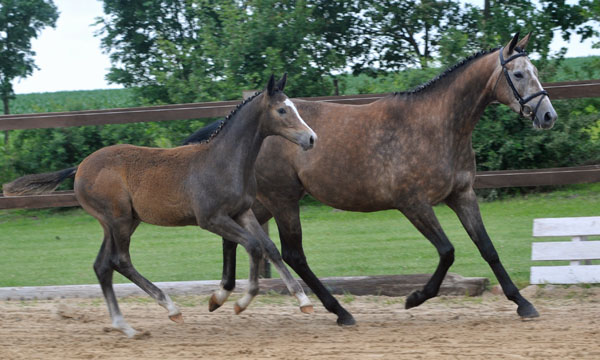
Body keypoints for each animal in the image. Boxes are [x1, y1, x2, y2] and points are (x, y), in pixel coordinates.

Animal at [3, 74, 318, 338]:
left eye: (294, 107)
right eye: (282, 110)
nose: (311, 138)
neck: (224, 161)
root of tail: (79, 167)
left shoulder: (242, 212)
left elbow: (269, 248)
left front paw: (303, 301)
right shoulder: (211, 219)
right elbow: (253, 246)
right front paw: (236, 302)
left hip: (120, 222)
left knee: (102, 265)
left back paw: (125, 326)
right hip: (118, 219)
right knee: (120, 260)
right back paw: (170, 308)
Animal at [202, 33, 556, 326]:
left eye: (535, 69)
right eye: (518, 74)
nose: (548, 115)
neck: (439, 126)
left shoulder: (462, 195)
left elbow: (487, 248)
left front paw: (523, 304)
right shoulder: (414, 204)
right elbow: (448, 251)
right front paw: (415, 298)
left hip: (265, 201)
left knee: (236, 238)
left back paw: (222, 296)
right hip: (283, 199)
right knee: (293, 254)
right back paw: (339, 311)